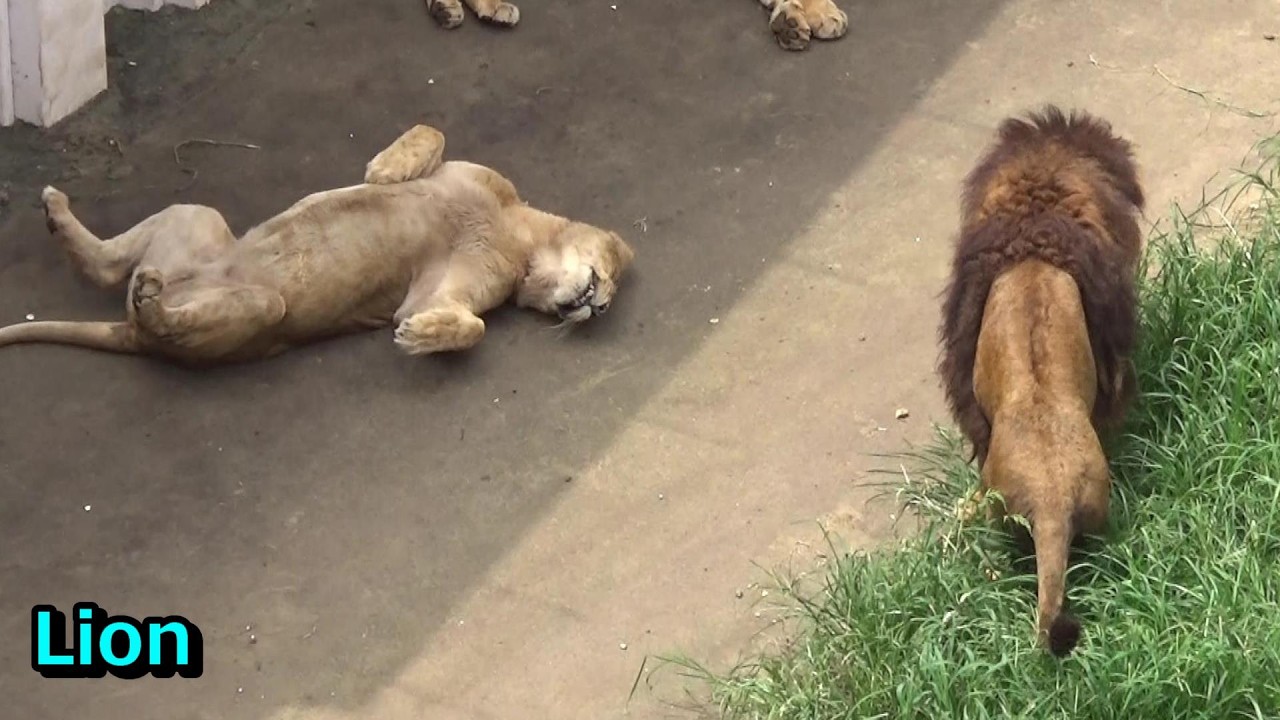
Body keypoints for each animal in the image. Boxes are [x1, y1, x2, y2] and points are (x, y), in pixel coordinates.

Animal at [0, 125, 634, 365]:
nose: (599, 307)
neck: (516, 231)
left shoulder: (437, 294)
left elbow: (470, 326)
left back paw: (149, 298)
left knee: (143, 304)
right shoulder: (467, 172)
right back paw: (56, 210)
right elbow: (430, 132)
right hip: (198, 215)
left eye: (609, 297)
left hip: (261, 310)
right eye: (607, 277)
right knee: (110, 266)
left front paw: (420, 336)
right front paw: (385, 170)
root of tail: (129, 331)